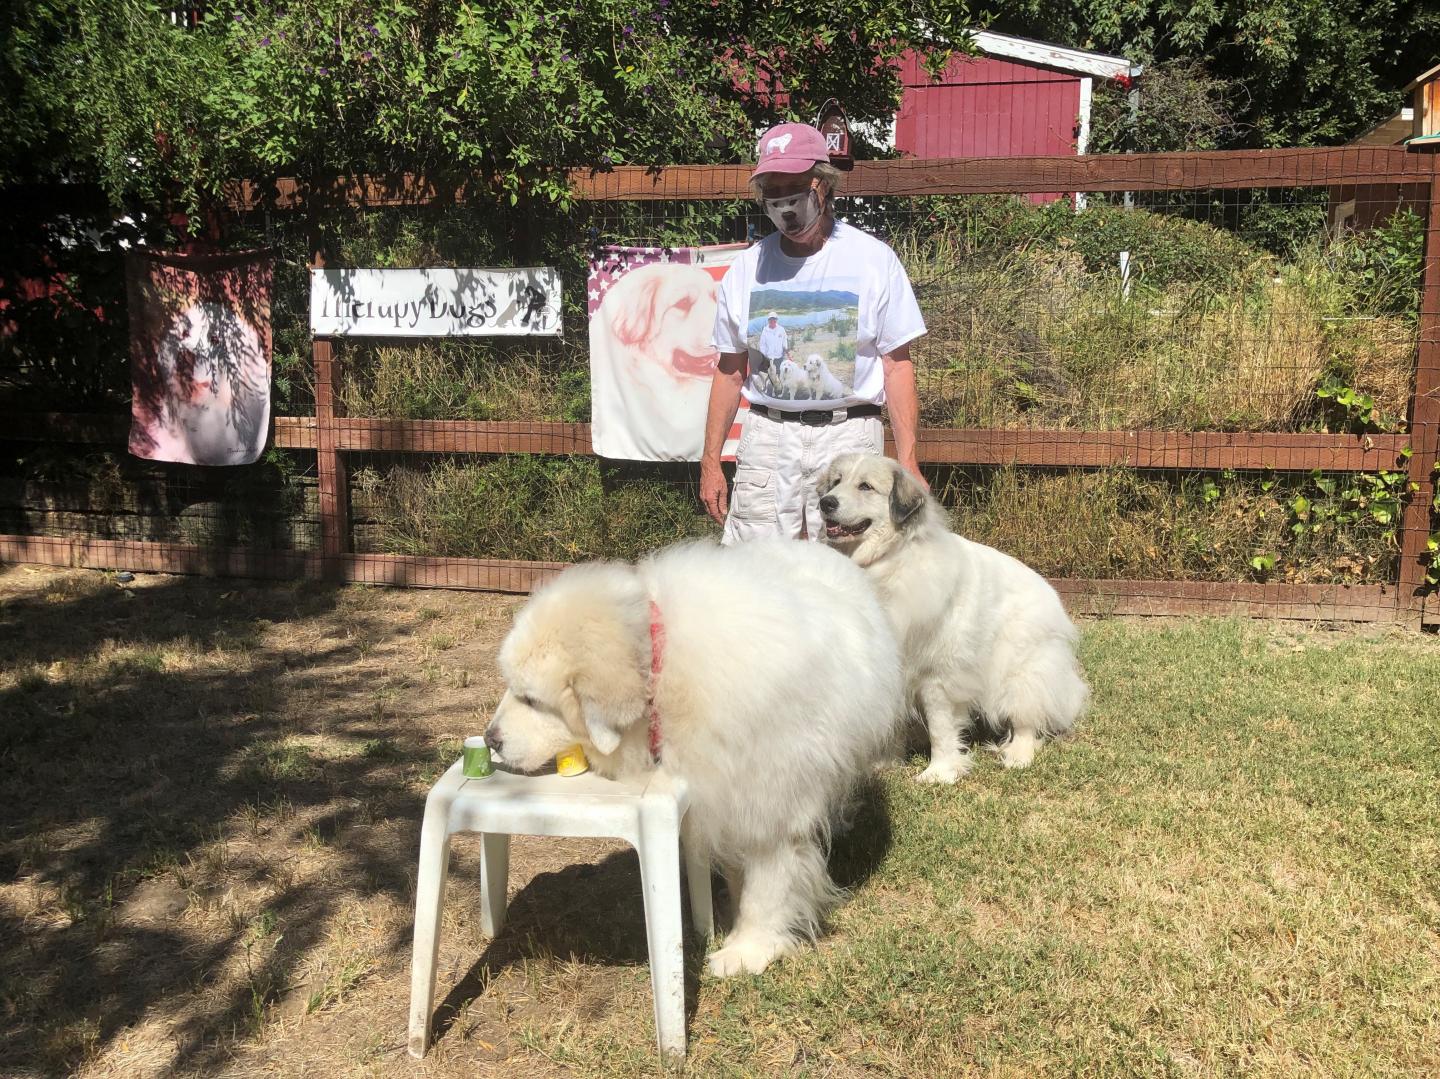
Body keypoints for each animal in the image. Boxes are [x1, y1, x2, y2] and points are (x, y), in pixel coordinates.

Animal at [483, 538, 898, 973]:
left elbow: (768, 886)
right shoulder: (718, 790)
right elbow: (736, 865)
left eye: (531, 699)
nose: (490, 738)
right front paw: (733, 911)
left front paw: (747, 950)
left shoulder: (769, 805)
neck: (663, 672)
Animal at [817, 449, 1082, 777]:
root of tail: (1050, 591)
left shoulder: (938, 675)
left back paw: (1019, 754)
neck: (888, 562)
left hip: (1021, 669)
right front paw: (886, 763)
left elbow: (940, 728)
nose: (826, 502)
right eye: (836, 482)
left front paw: (940, 773)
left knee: (1026, 715)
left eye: (865, 486)